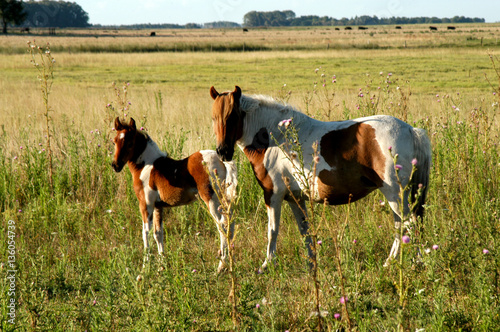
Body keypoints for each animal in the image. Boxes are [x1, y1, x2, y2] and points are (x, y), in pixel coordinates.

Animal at [112, 116, 237, 272]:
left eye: (129, 143)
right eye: (114, 141)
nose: (115, 165)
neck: (147, 166)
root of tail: (221, 159)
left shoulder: (146, 204)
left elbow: (145, 233)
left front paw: (145, 268)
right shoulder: (158, 206)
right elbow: (158, 233)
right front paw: (162, 266)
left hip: (211, 199)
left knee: (222, 225)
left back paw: (220, 267)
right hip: (224, 199)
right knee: (230, 222)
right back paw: (231, 263)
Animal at [209, 85, 432, 272]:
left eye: (232, 116)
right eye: (214, 118)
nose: (222, 152)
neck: (275, 139)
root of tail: (410, 130)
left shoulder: (273, 195)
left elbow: (272, 230)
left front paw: (267, 265)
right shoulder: (295, 198)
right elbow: (305, 231)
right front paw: (311, 264)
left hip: (395, 193)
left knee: (410, 224)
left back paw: (417, 263)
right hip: (396, 195)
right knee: (401, 225)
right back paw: (390, 262)